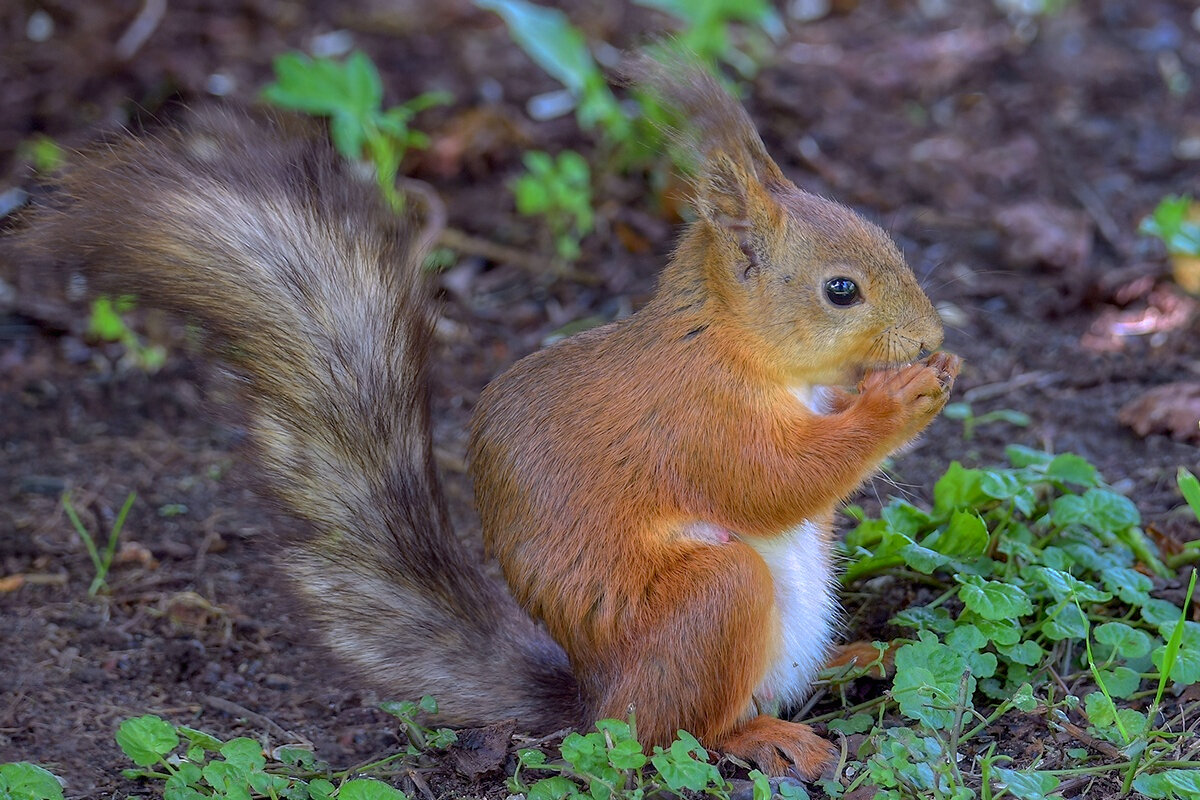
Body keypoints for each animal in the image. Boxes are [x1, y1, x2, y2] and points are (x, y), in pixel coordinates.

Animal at [11, 57, 955, 782]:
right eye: (841, 289)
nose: (931, 338)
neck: (736, 343)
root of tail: (596, 700)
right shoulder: (694, 418)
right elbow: (772, 481)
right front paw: (902, 397)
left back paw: (858, 659)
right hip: (708, 605)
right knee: (677, 734)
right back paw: (763, 735)